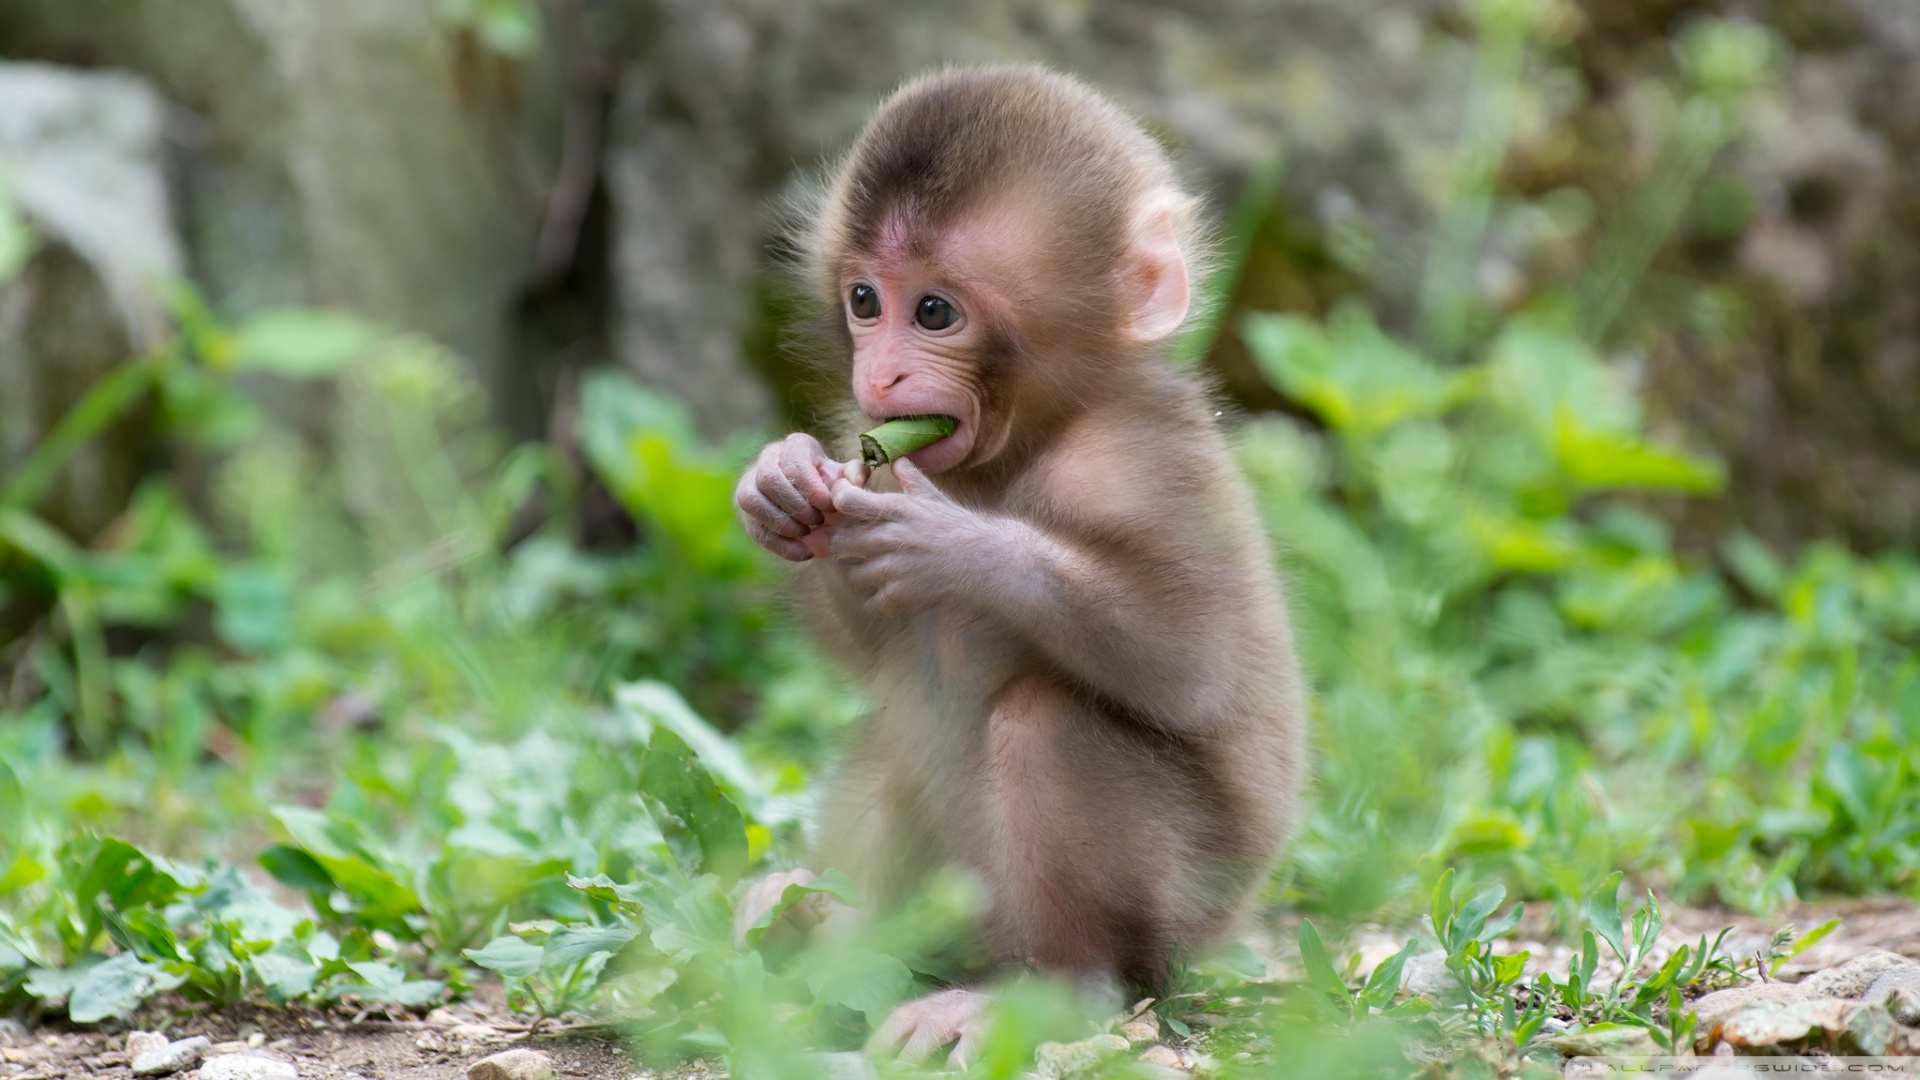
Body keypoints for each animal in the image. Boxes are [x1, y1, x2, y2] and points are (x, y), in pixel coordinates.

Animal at [731, 65, 1305, 1068]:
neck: (1033, 435)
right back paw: (824, 927)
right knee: (898, 724)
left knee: (1044, 722)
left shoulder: (1141, 458)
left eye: (935, 312)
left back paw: (1050, 993)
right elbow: (870, 641)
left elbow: (1195, 656)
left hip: (1184, 916)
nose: (879, 377)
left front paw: (957, 545)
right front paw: (785, 483)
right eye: (864, 301)